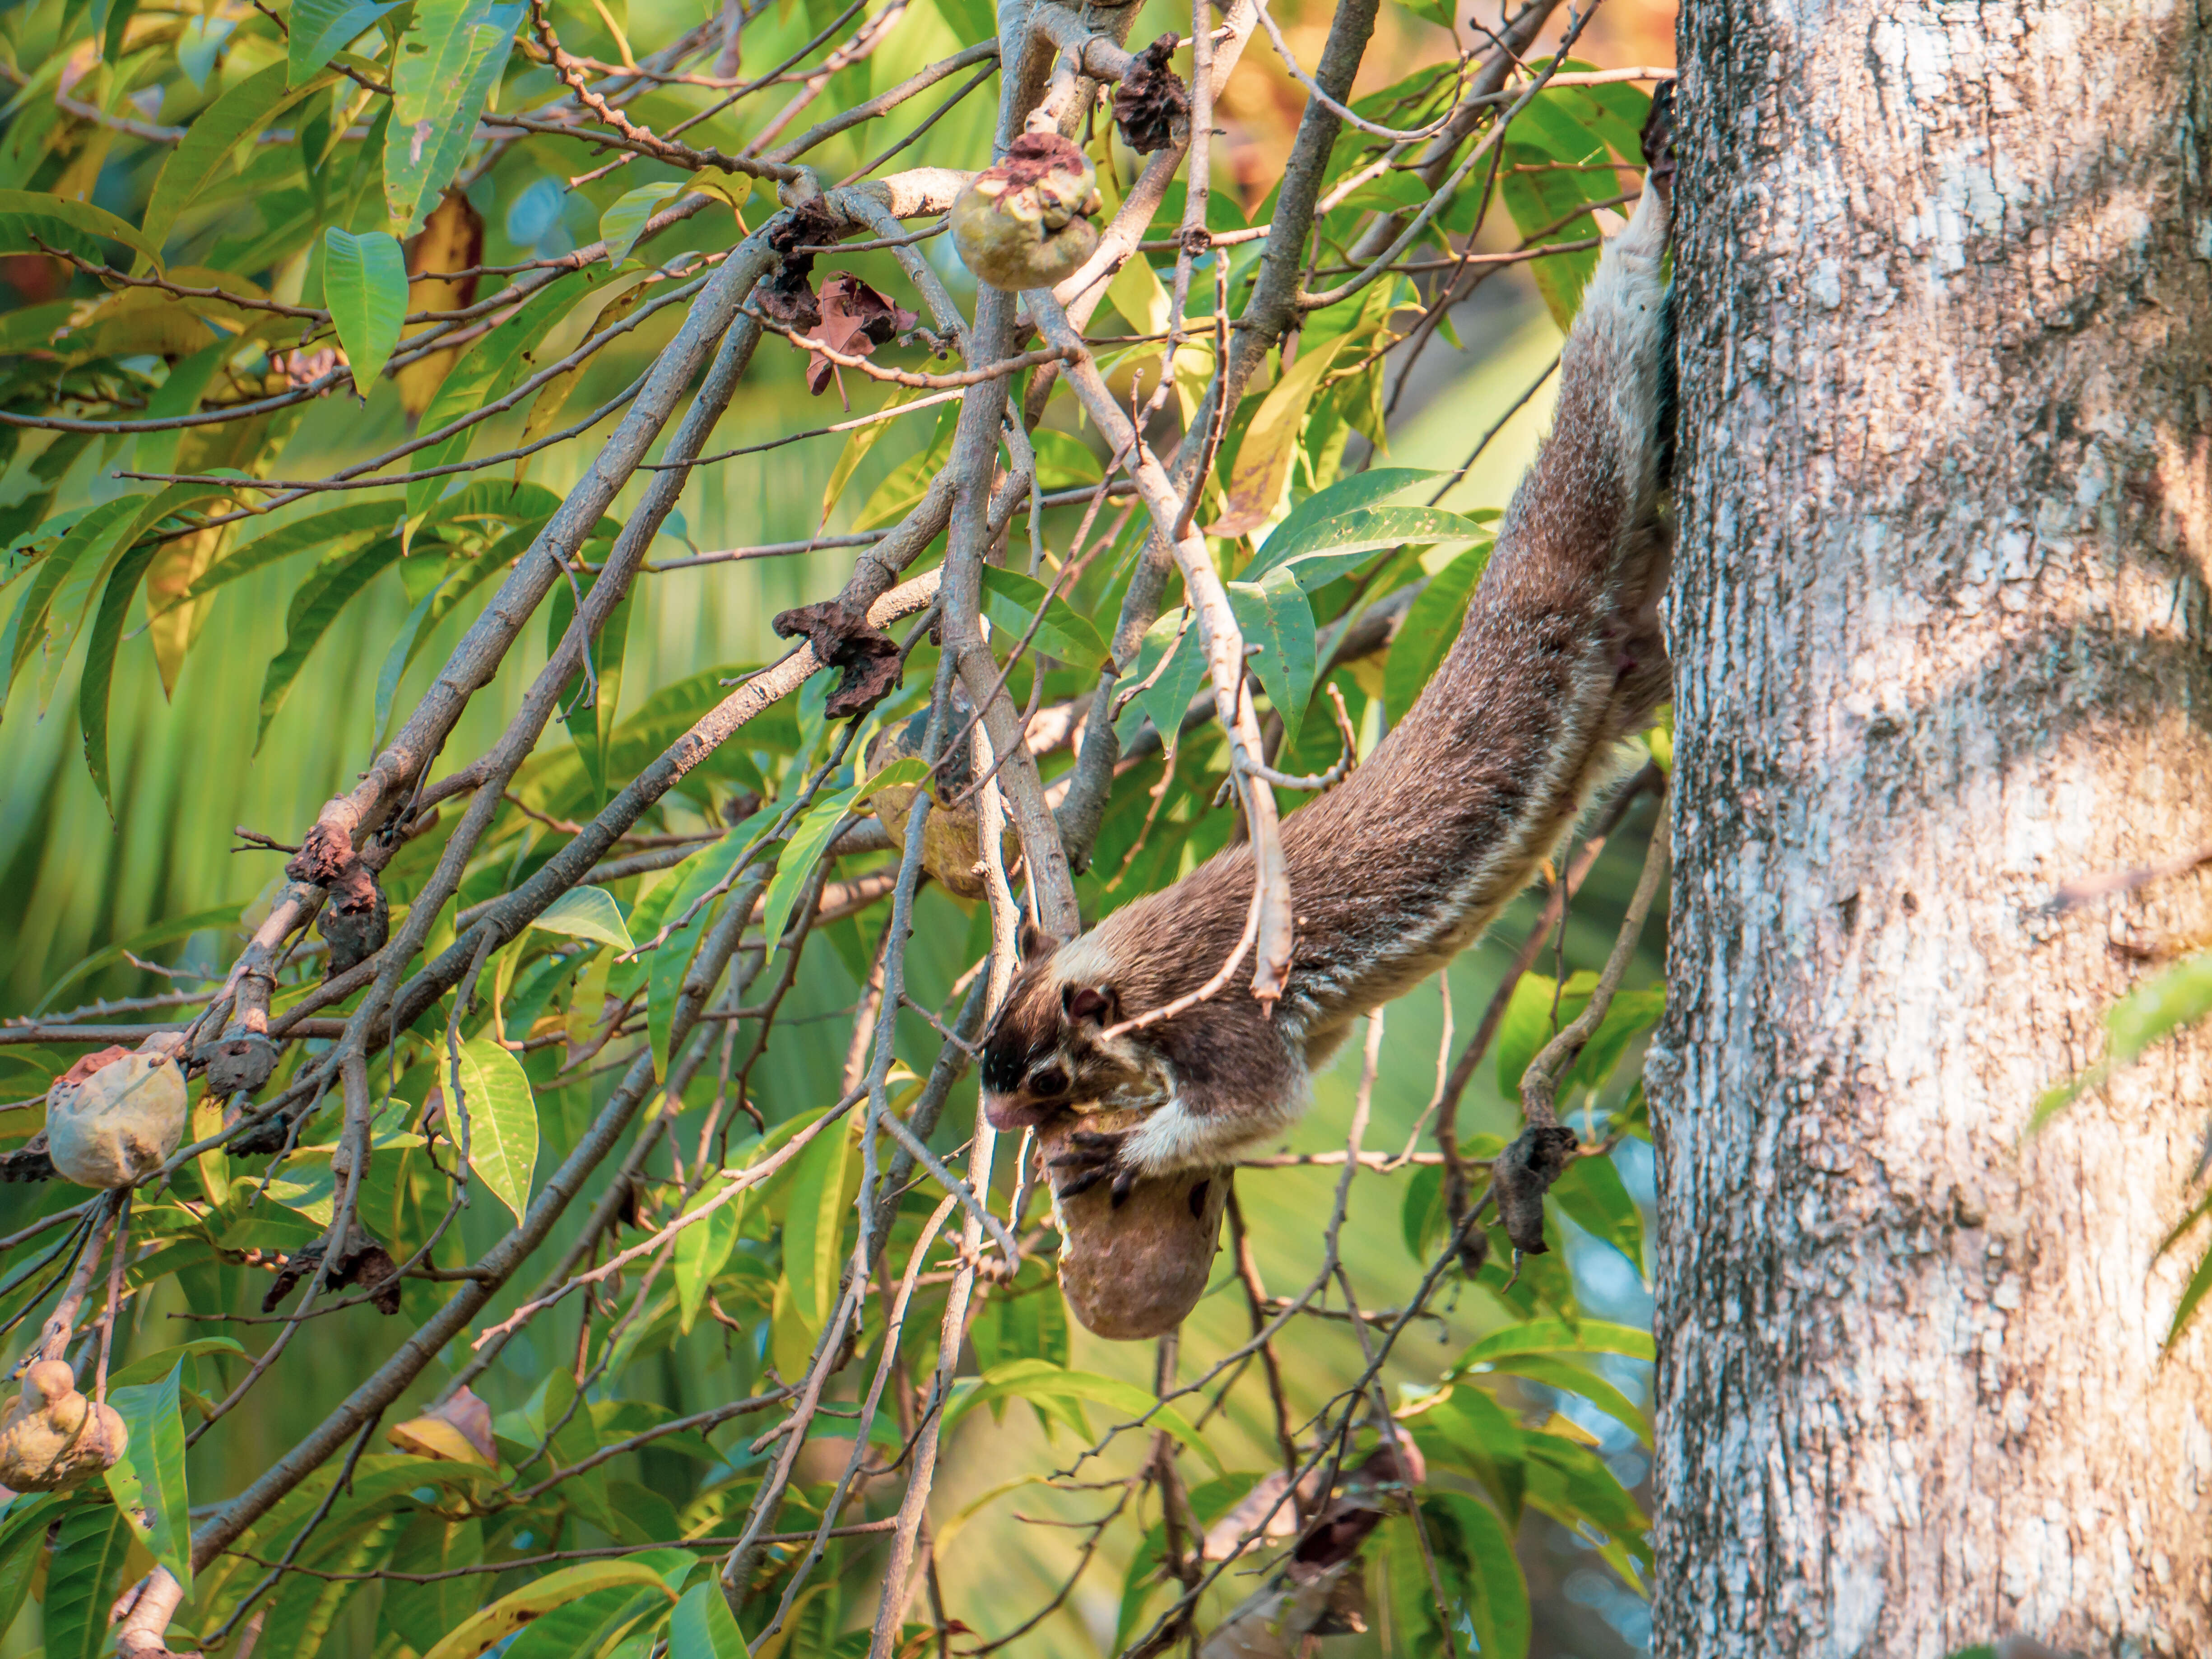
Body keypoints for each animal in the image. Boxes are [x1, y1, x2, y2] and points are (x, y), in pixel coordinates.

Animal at [986, 88, 1672, 1212]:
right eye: (984, 1055)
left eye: (1044, 1072)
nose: (1000, 1117)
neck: (1137, 966)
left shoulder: (1215, 1019)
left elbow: (1258, 1101)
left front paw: (1120, 1149)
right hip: (1625, 669)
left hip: (1579, 512)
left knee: (1605, 366)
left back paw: (1651, 204)